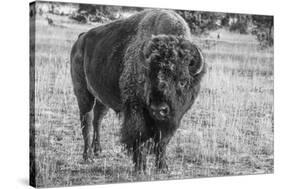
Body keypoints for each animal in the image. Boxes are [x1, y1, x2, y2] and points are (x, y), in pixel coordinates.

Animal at [70, 9, 206, 172]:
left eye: (183, 81)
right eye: (148, 78)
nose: (159, 109)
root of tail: (81, 38)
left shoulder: (170, 120)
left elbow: (163, 141)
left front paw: (162, 167)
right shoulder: (136, 110)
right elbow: (140, 136)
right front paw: (140, 168)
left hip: (102, 98)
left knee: (98, 119)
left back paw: (98, 150)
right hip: (83, 94)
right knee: (87, 122)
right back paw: (88, 156)